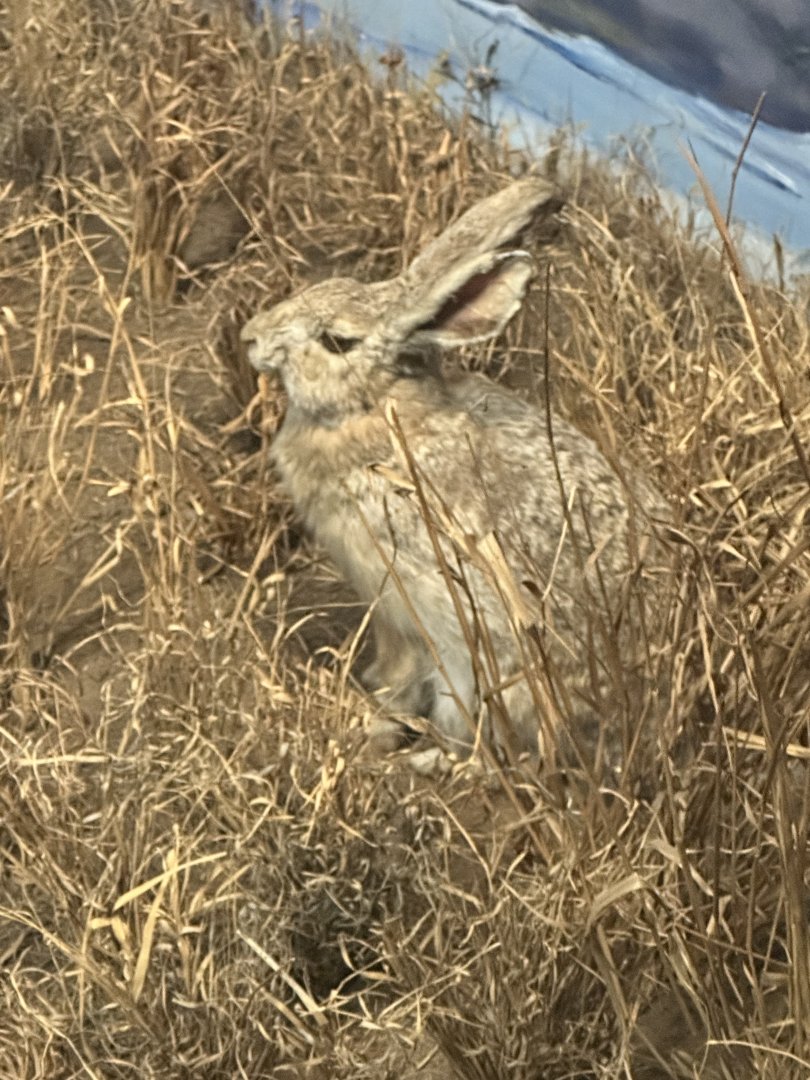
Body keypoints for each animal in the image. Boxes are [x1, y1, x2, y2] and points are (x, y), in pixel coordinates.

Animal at [241, 176, 669, 766]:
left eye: (336, 341)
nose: (251, 337)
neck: (378, 409)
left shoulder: (402, 605)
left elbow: (400, 673)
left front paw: (376, 712)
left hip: (484, 672)